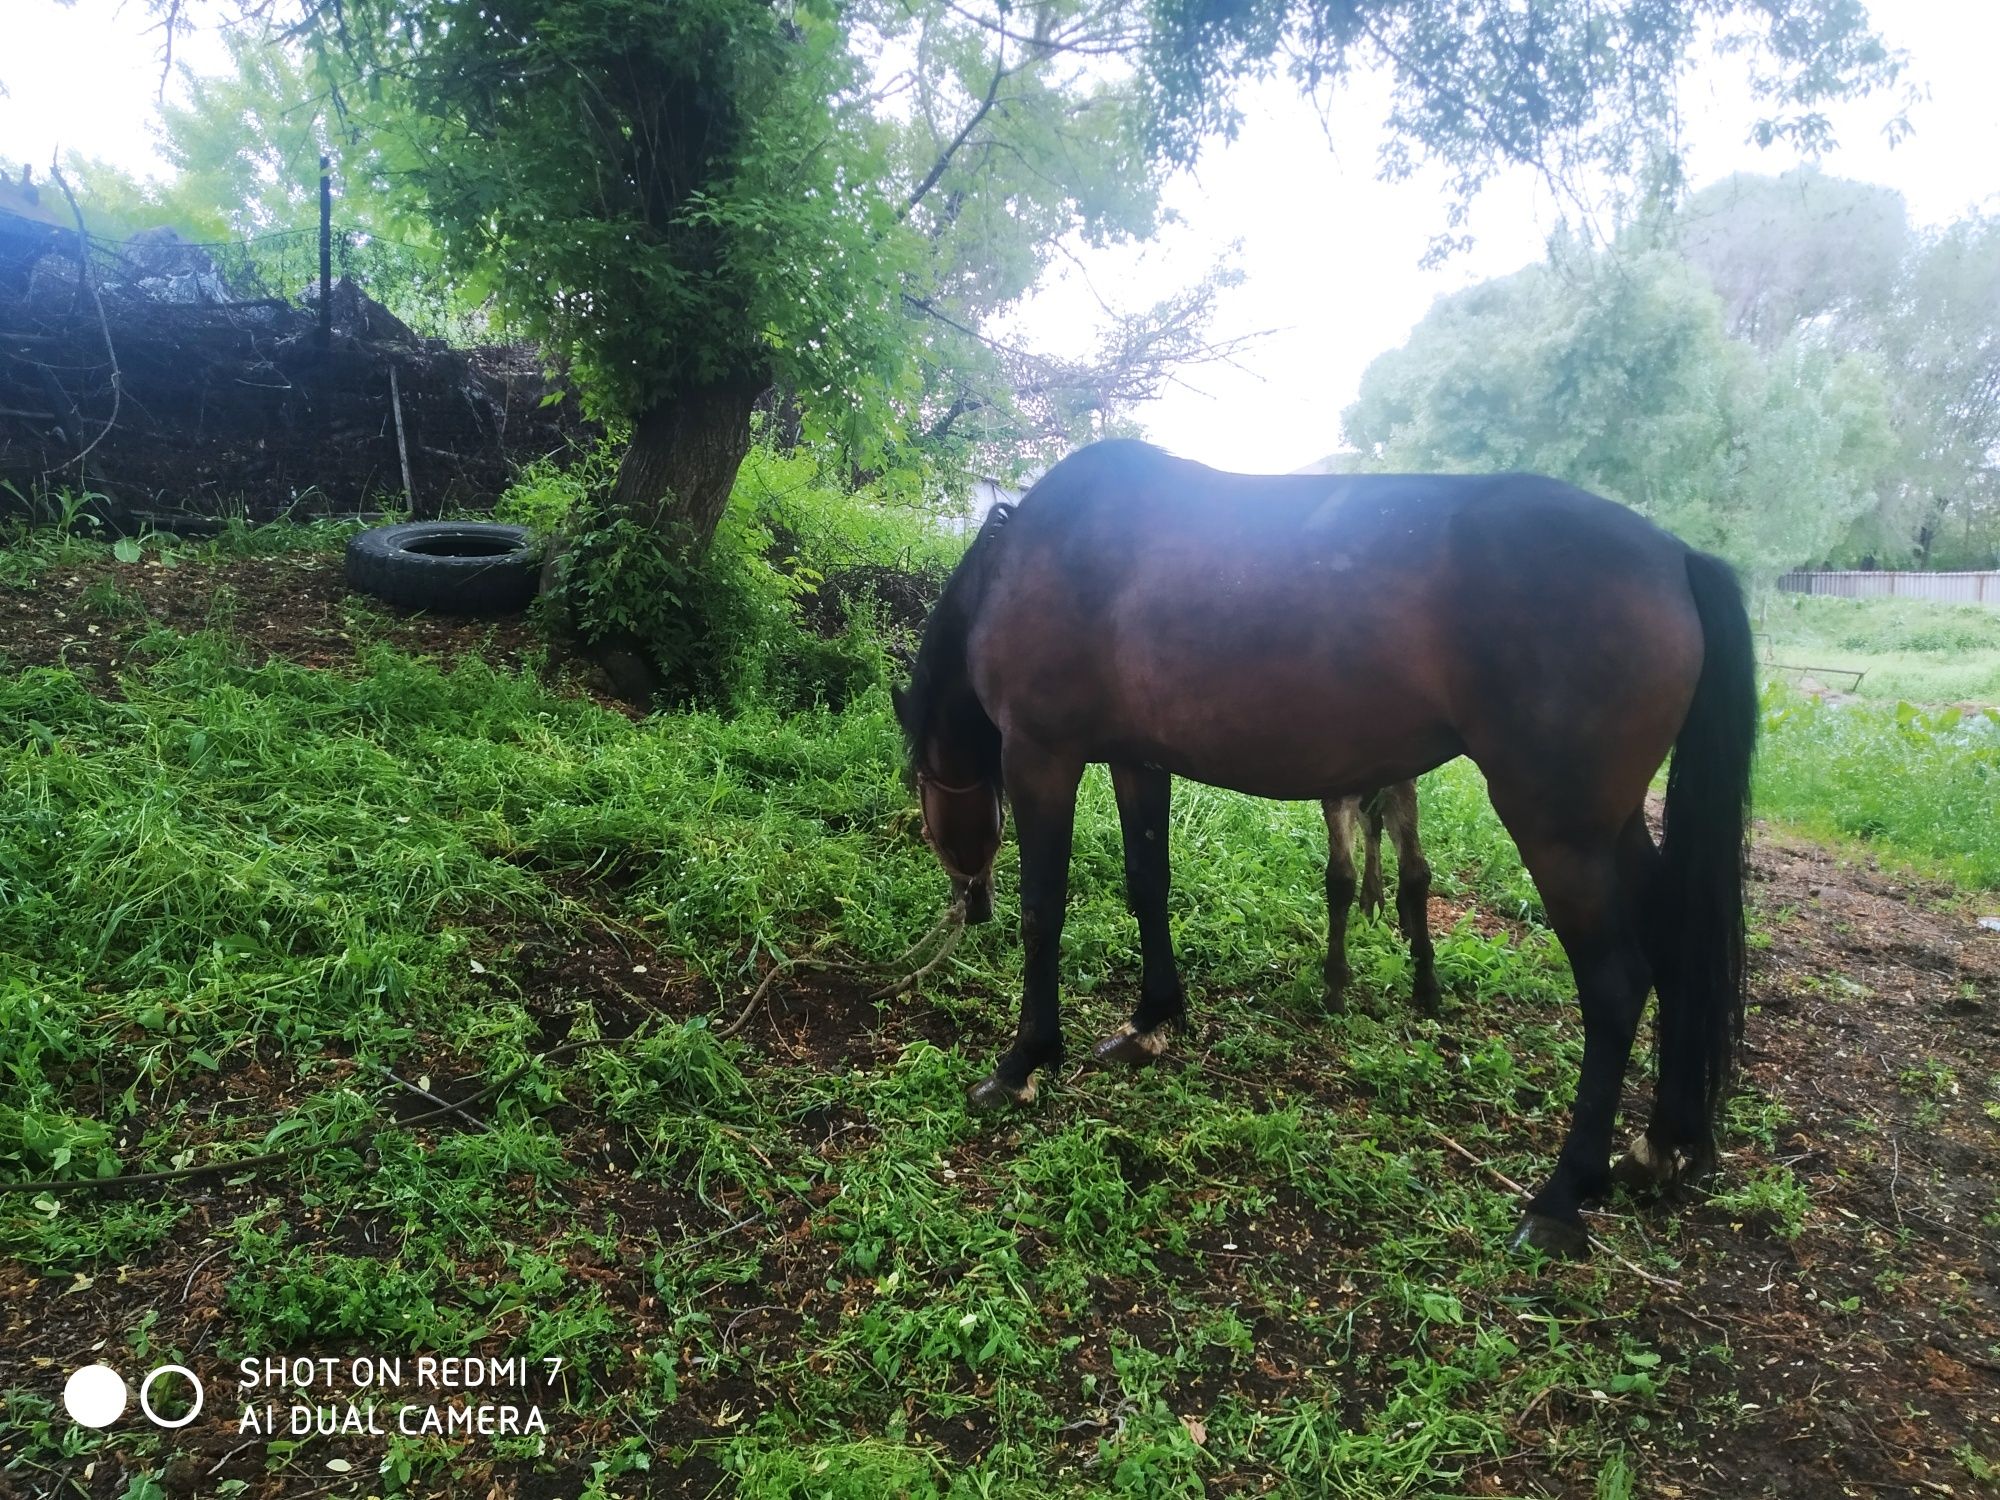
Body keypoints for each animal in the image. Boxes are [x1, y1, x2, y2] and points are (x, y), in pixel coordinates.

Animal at [892, 440, 1752, 1264]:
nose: (970, 903)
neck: (1027, 557)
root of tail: (1675, 557)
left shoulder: (1043, 757)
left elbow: (1045, 912)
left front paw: (1024, 1061)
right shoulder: (1138, 761)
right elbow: (1148, 884)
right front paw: (1150, 1020)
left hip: (1560, 833)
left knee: (1616, 985)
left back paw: (1562, 1198)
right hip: (1611, 827)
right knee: (1675, 948)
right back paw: (1662, 1149)